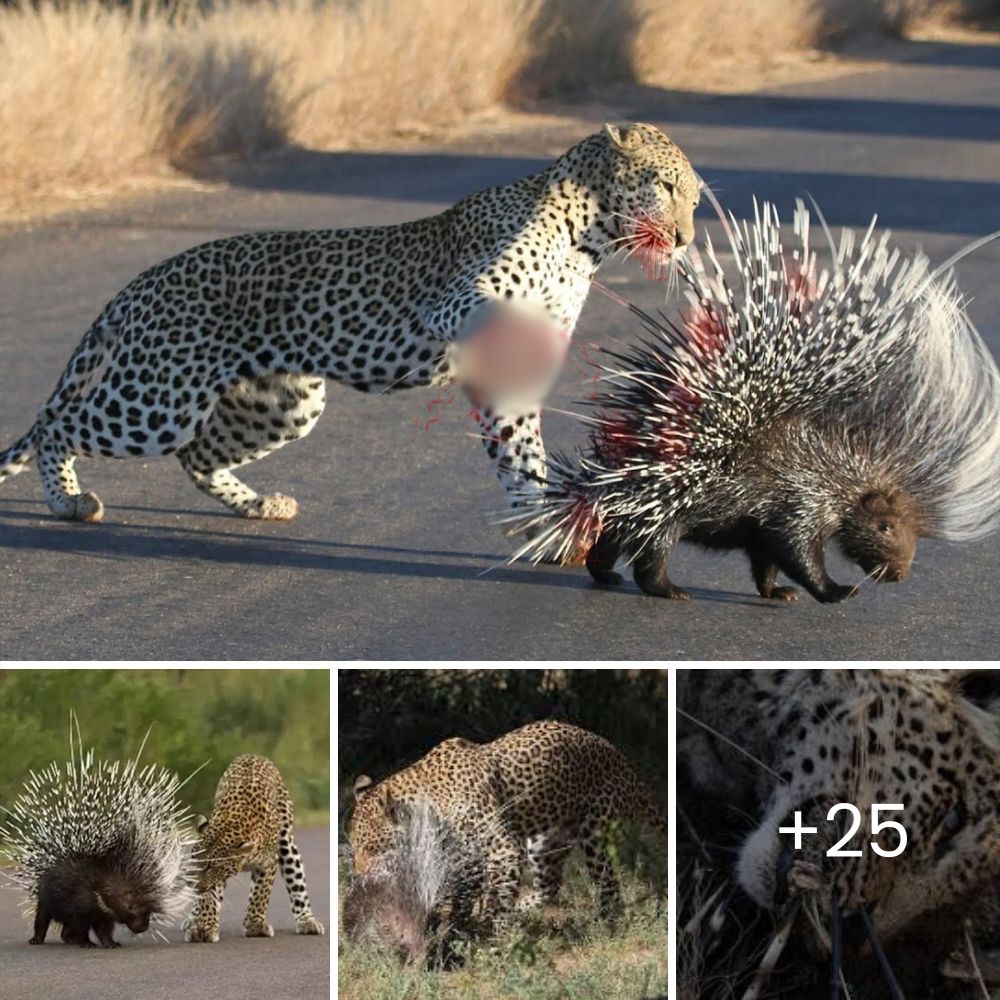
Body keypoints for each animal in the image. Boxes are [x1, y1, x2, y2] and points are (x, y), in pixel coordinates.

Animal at [0, 123, 696, 524]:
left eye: (694, 197)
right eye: (667, 188)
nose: (688, 237)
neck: (588, 238)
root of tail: (143, 280)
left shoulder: (509, 390)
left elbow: (524, 456)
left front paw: (546, 529)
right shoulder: (456, 302)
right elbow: (500, 323)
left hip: (283, 403)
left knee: (197, 455)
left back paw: (261, 505)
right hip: (159, 395)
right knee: (57, 423)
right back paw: (68, 502)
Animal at [184, 752, 324, 940]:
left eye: (210, 867)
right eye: (194, 860)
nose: (190, 882)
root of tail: (253, 754)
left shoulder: (268, 862)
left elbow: (260, 894)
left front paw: (255, 926)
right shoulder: (213, 879)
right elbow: (208, 898)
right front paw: (203, 927)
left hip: (286, 841)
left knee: (296, 880)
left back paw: (307, 921)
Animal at [348, 720, 668, 928]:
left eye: (372, 848)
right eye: (353, 849)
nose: (362, 878)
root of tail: (626, 765)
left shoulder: (504, 847)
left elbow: (496, 895)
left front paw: (492, 933)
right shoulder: (468, 856)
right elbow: (463, 894)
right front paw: (458, 923)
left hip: (595, 832)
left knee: (608, 883)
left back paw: (606, 926)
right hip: (544, 844)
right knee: (550, 886)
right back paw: (523, 910)